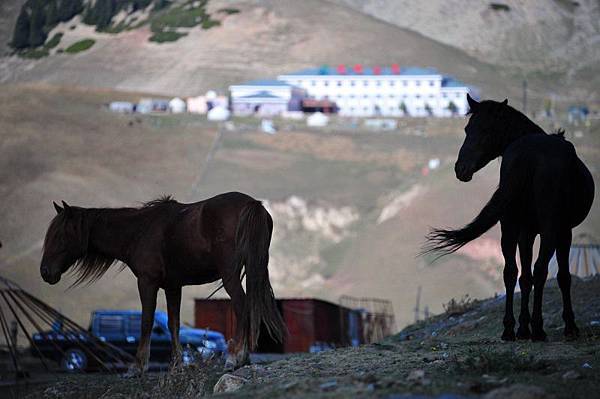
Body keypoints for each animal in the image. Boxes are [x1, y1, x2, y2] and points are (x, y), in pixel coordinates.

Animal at [41, 193, 288, 376]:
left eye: (59, 236)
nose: (45, 272)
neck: (138, 231)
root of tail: (251, 204)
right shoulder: (173, 286)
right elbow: (173, 324)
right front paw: (177, 365)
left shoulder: (147, 282)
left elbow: (146, 322)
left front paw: (137, 367)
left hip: (229, 275)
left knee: (241, 305)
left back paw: (235, 357)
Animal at [426, 95, 596, 342]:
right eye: (468, 129)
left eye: (484, 130)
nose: (461, 169)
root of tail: (529, 155)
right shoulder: (564, 231)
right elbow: (562, 276)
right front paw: (569, 326)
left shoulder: (526, 231)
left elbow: (524, 277)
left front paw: (523, 328)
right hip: (549, 229)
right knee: (540, 270)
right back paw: (538, 329)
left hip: (510, 226)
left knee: (511, 272)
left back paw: (510, 329)